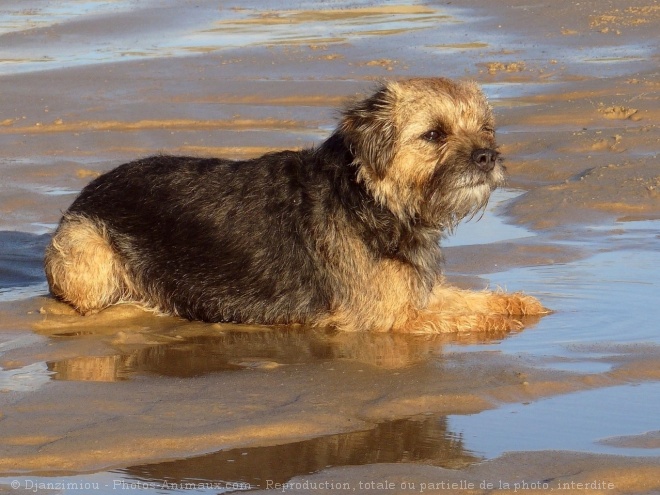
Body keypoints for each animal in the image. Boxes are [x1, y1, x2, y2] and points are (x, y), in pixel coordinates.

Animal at [42, 78, 548, 334]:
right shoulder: (390, 317)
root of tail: (85, 193)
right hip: (88, 255)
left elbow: (473, 298)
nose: (486, 157)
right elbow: (466, 314)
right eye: (434, 134)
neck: (371, 199)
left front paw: (526, 303)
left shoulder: (414, 293)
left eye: (486, 129)